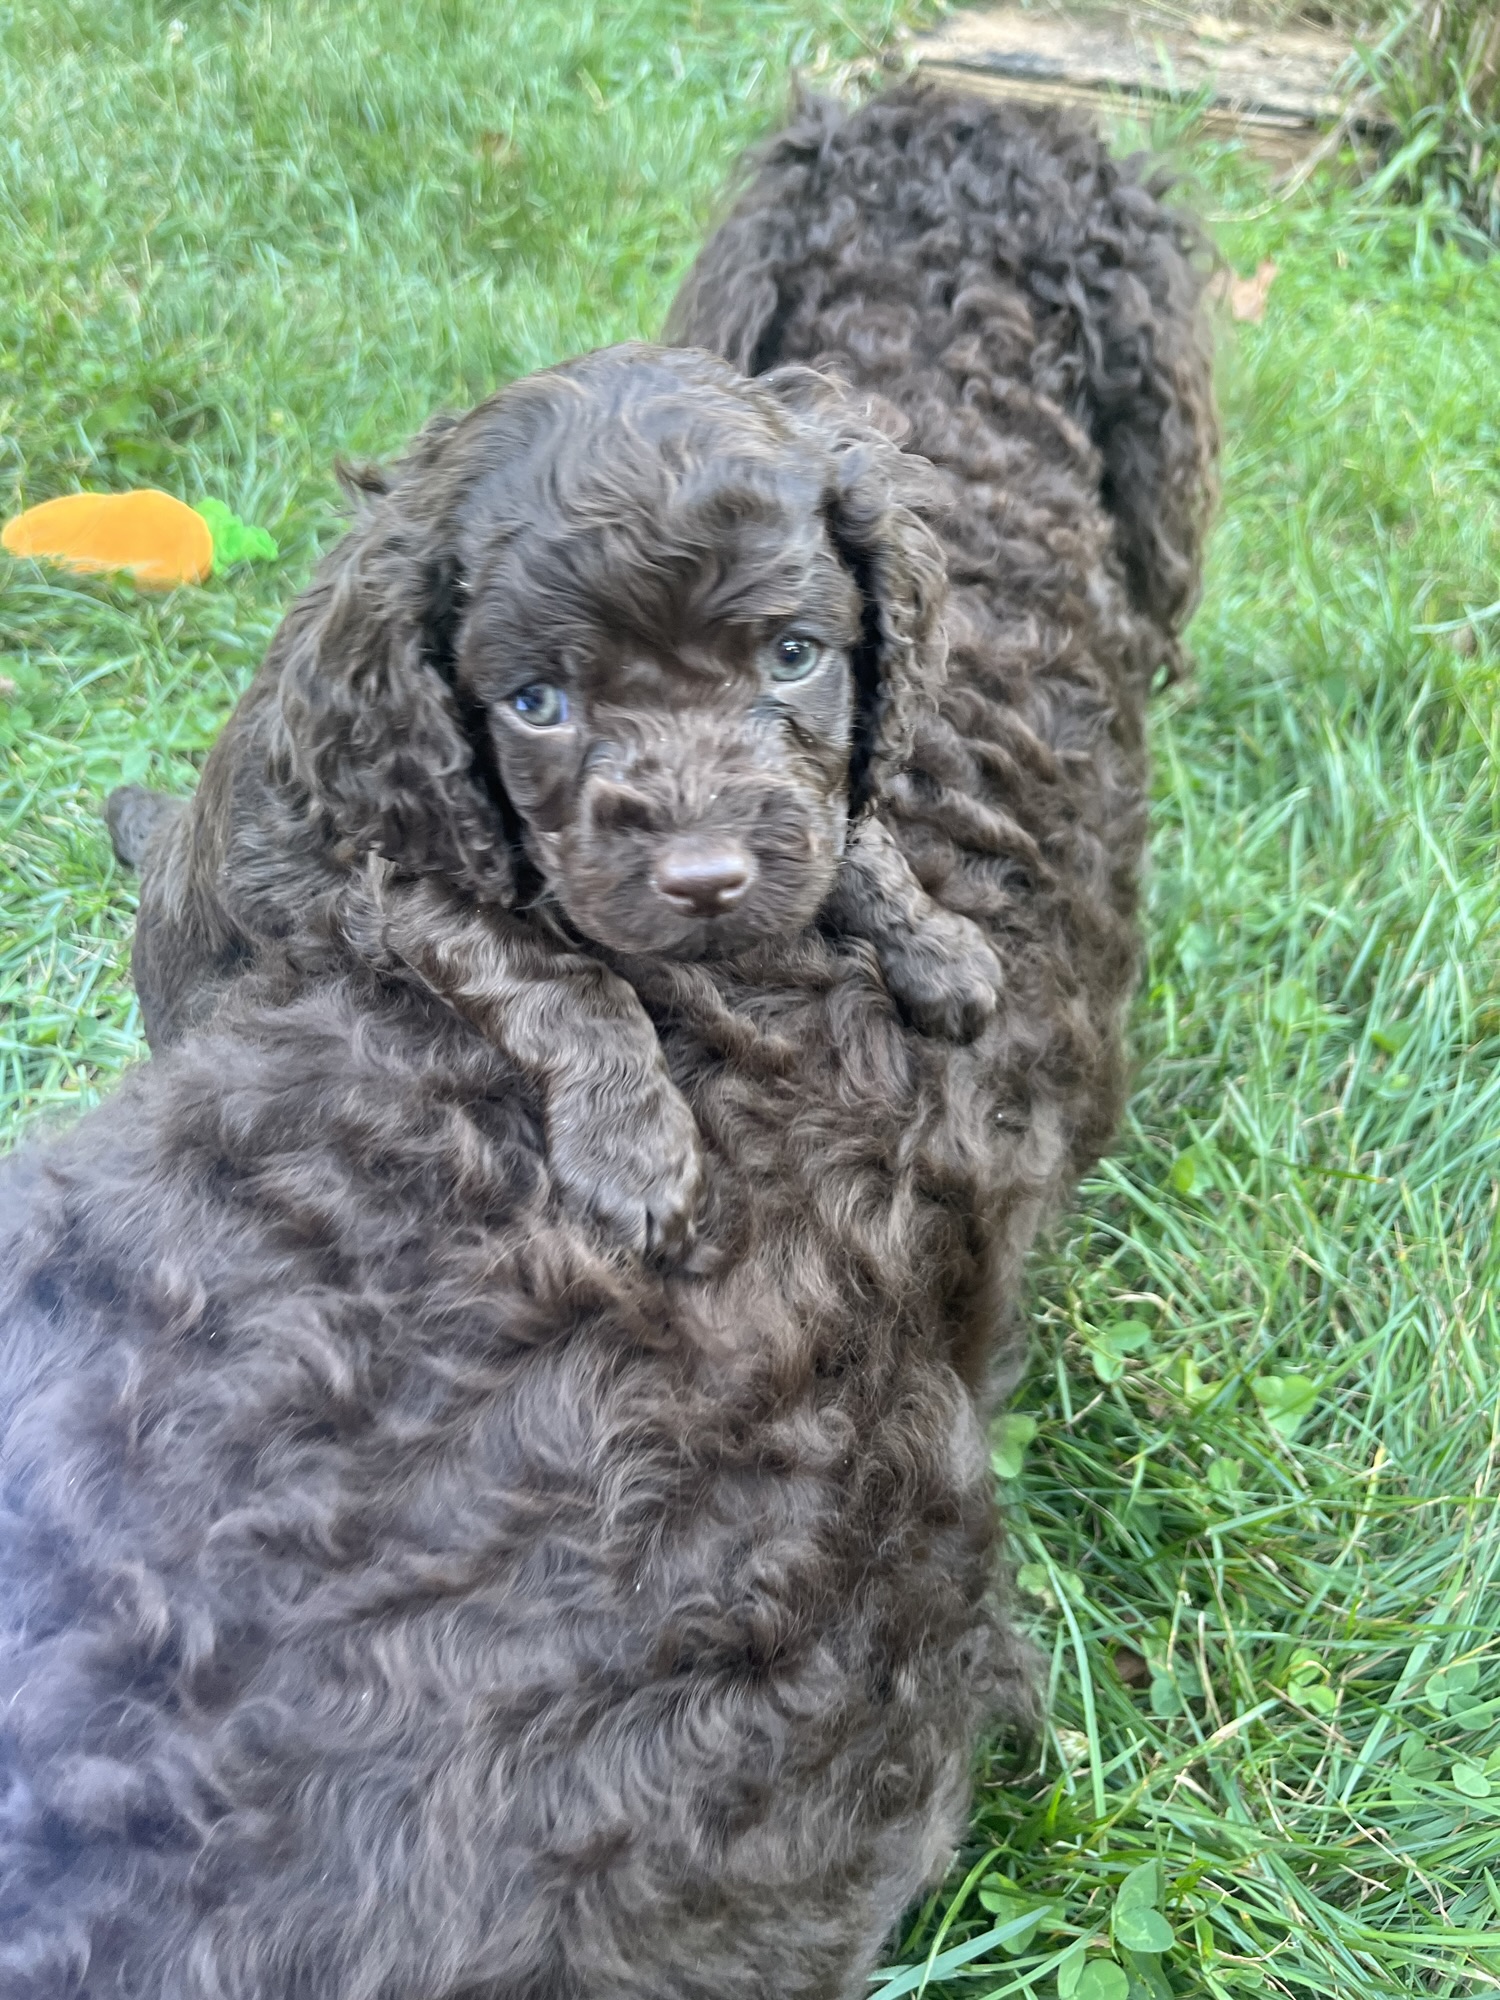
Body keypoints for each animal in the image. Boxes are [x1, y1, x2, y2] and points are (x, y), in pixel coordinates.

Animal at [0, 84, 1214, 1999]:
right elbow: (545, 972)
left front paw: (925, 937)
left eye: (795, 654)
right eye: (539, 700)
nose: (702, 875)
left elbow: (853, 847)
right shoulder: (409, 880)